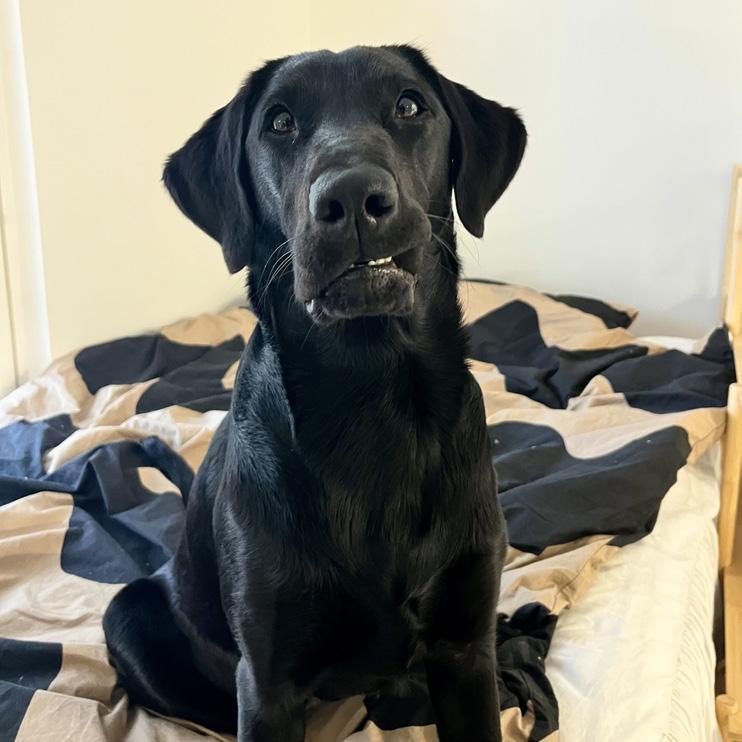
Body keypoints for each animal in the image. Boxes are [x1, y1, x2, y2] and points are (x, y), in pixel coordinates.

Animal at [103, 45, 526, 742]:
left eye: (410, 105)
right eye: (279, 123)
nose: (352, 197)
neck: (371, 396)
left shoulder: (465, 648)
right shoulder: (267, 683)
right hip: (129, 615)